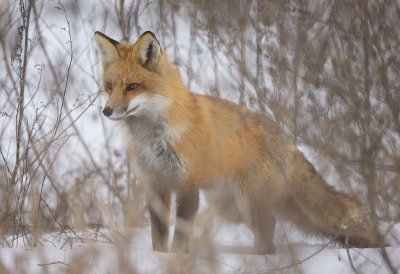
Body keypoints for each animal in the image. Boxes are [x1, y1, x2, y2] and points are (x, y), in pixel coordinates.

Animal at [93, 31, 378, 254]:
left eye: (132, 86)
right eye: (109, 86)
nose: (107, 111)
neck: (154, 137)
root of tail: (286, 138)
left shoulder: (187, 186)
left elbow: (181, 236)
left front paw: (177, 260)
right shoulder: (156, 184)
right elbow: (159, 236)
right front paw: (159, 259)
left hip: (246, 202)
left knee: (268, 229)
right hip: (228, 206)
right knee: (269, 226)